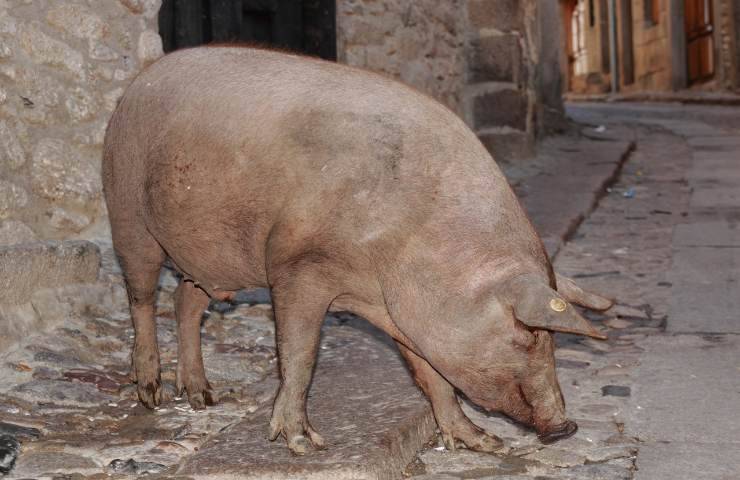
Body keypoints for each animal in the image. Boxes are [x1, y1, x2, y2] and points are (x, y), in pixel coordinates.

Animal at [102, 46, 613, 455]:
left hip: (212, 259)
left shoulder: (400, 312)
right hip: (127, 211)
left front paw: (483, 444)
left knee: (185, 300)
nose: (566, 427)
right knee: (142, 296)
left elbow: (431, 375)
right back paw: (151, 393)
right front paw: (305, 445)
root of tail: (137, 83)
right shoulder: (297, 265)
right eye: (530, 335)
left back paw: (202, 397)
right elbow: (300, 354)